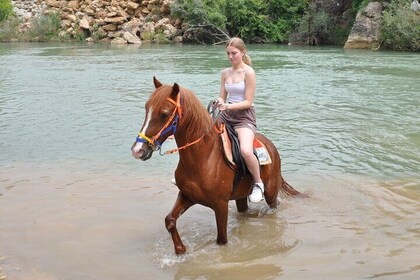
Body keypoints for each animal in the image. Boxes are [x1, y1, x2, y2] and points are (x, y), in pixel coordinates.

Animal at [131, 76, 302, 254]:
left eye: (164, 114)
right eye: (146, 109)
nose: (138, 150)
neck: (204, 158)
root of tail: (272, 148)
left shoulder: (220, 205)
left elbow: (222, 240)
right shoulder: (187, 196)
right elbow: (169, 220)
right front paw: (180, 249)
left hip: (271, 194)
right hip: (241, 197)